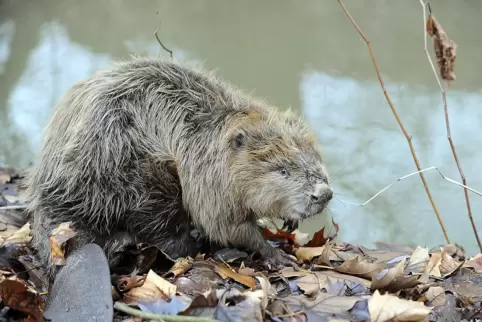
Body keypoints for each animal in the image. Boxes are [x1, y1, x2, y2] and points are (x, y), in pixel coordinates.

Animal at [24, 56, 334, 278]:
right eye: (282, 170)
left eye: (315, 159)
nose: (323, 194)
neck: (214, 133)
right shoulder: (205, 175)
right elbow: (224, 224)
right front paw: (275, 253)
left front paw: (290, 223)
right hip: (135, 180)